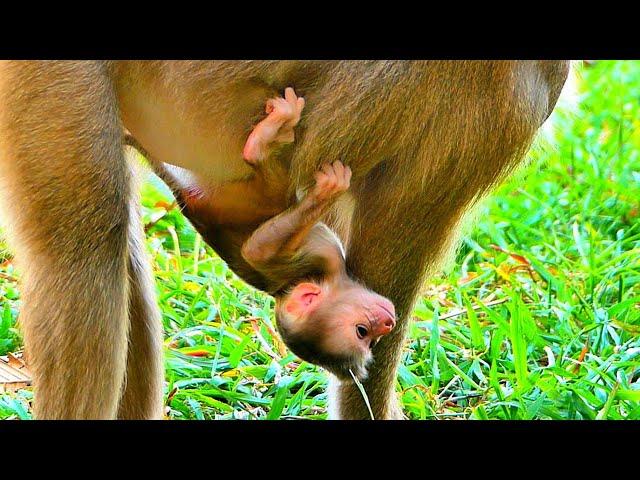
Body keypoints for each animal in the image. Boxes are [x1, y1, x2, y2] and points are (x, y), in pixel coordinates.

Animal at [142, 86, 398, 378]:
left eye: (371, 341)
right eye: (362, 332)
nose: (388, 323)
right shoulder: (321, 257)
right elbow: (256, 251)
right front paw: (326, 192)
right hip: (252, 190)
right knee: (264, 175)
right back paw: (266, 139)